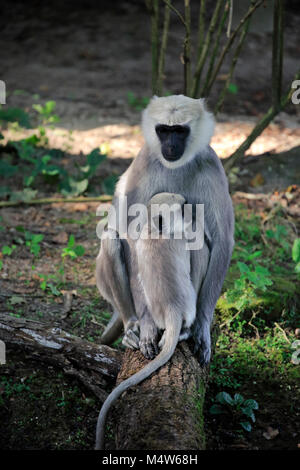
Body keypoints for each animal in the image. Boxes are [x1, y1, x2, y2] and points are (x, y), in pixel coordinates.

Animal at [94, 93, 234, 450]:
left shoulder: (210, 164)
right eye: (163, 130)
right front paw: (144, 327)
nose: (170, 145)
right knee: (113, 237)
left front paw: (202, 327)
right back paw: (133, 324)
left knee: (200, 235)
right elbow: (126, 233)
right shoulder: (145, 163)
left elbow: (222, 241)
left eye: (179, 131)